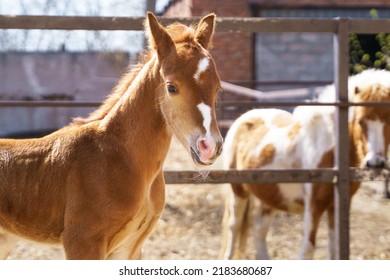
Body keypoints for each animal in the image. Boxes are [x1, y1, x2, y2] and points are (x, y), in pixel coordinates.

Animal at [0, 12, 222, 260]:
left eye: (217, 88)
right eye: (171, 87)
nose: (209, 146)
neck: (121, 157)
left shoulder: (130, 248)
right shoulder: (82, 241)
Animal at [221, 69, 390, 260]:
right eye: (360, 120)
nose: (375, 163)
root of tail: (244, 118)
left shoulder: (336, 205)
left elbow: (333, 249)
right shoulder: (313, 205)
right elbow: (308, 249)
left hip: (271, 196)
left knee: (259, 229)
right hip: (238, 191)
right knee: (234, 226)